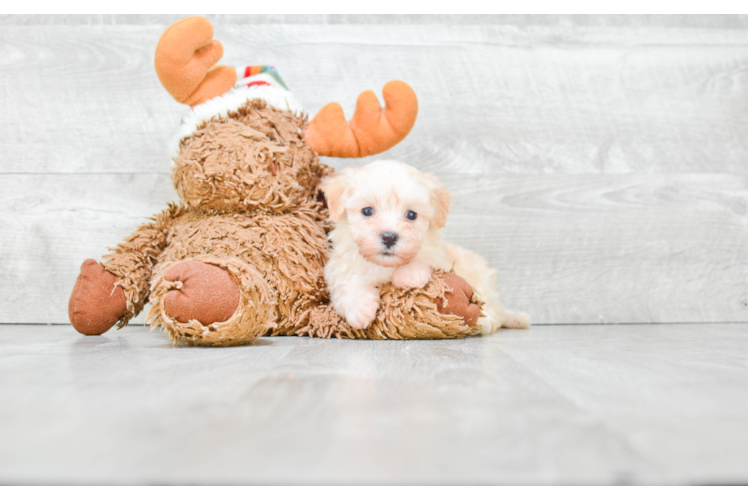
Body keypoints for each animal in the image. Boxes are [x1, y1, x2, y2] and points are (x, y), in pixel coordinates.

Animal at [322, 160, 532, 332]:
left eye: (411, 215)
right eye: (367, 211)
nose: (389, 237)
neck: (386, 266)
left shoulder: (439, 257)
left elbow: (426, 259)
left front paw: (409, 274)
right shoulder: (340, 267)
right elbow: (346, 285)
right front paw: (360, 309)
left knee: (492, 315)